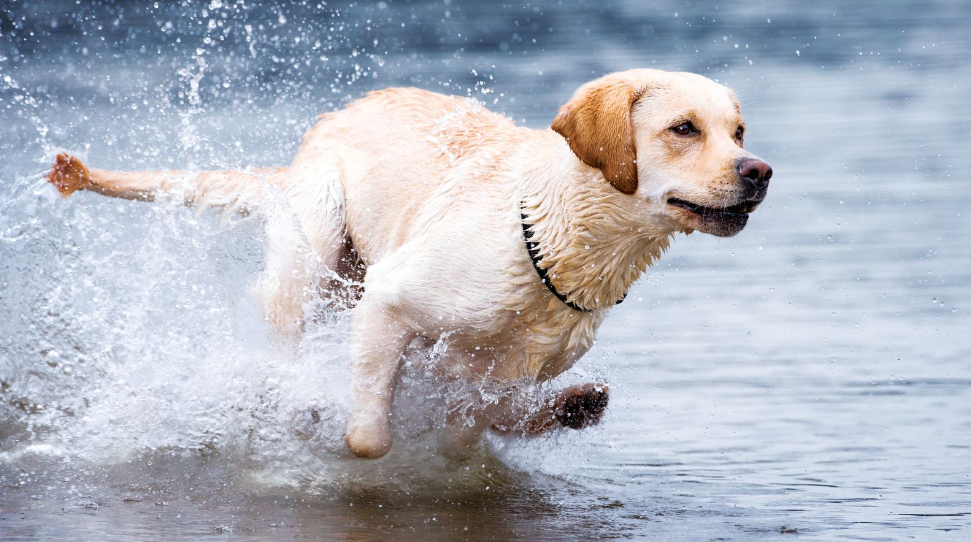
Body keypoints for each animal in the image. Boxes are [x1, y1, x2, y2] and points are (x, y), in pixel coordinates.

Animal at [47, 68, 776, 460]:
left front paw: (557, 409)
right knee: (280, 338)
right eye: (683, 128)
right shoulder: (388, 303)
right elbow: (371, 436)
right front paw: (340, 424)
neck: (555, 237)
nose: (759, 171)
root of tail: (332, 117)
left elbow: (473, 425)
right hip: (313, 257)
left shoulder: (506, 370)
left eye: (737, 131)